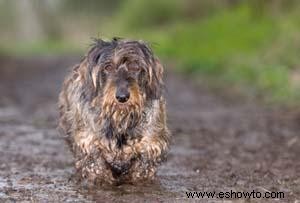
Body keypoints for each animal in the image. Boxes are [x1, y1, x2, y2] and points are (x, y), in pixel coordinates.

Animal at [58, 37, 170, 184]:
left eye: (135, 67)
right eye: (108, 67)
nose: (122, 97)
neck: (120, 119)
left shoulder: (149, 148)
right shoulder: (90, 147)